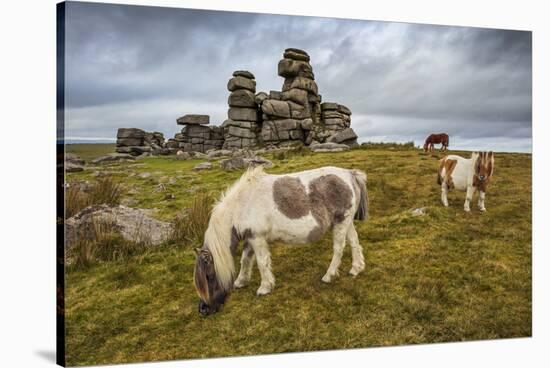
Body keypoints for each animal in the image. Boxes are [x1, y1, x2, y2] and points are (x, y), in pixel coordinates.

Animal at [194, 165, 370, 314]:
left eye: (209, 277)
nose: (203, 310)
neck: (242, 205)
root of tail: (350, 174)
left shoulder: (257, 238)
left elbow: (261, 262)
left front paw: (265, 287)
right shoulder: (250, 238)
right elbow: (245, 260)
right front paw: (241, 281)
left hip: (341, 222)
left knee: (339, 248)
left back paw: (329, 275)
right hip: (347, 222)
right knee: (354, 243)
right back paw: (356, 269)